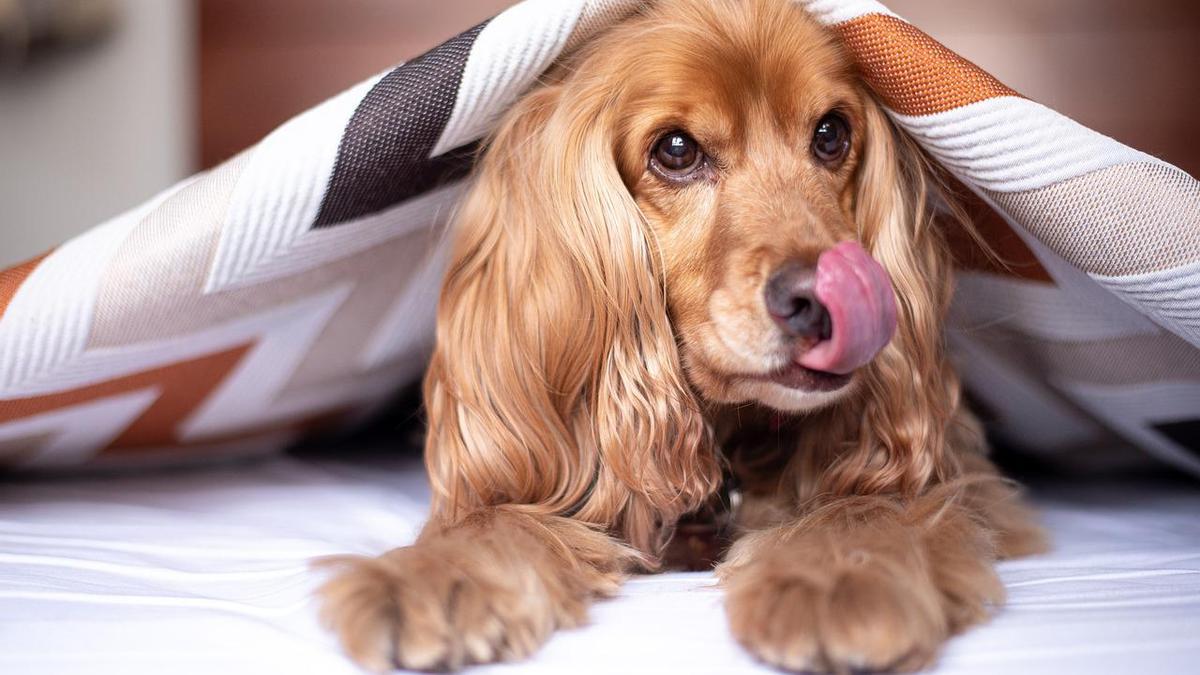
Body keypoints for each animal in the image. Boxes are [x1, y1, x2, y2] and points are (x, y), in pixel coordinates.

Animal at [316, 0, 1041, 667]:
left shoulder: (971, 483)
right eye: (675, 150)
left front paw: (836, 574)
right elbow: (496, 514)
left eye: (831, 134)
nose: (822, 301)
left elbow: (873, 503)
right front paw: (431, 573)